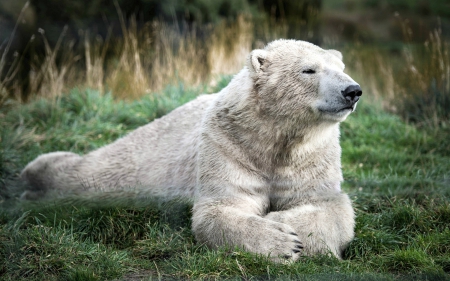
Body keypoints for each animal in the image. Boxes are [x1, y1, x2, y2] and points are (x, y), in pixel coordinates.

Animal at [21, 38, 362, 260]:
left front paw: (285, 223)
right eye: (309, 70)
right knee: (97, 174)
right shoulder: (229, 144)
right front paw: (282, 242)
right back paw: (37, 173)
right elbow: (220, 208)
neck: (273, 135)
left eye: (342, 67)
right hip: (146, 156)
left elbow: (330, 206)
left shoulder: (312, 156)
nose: (353, 90)